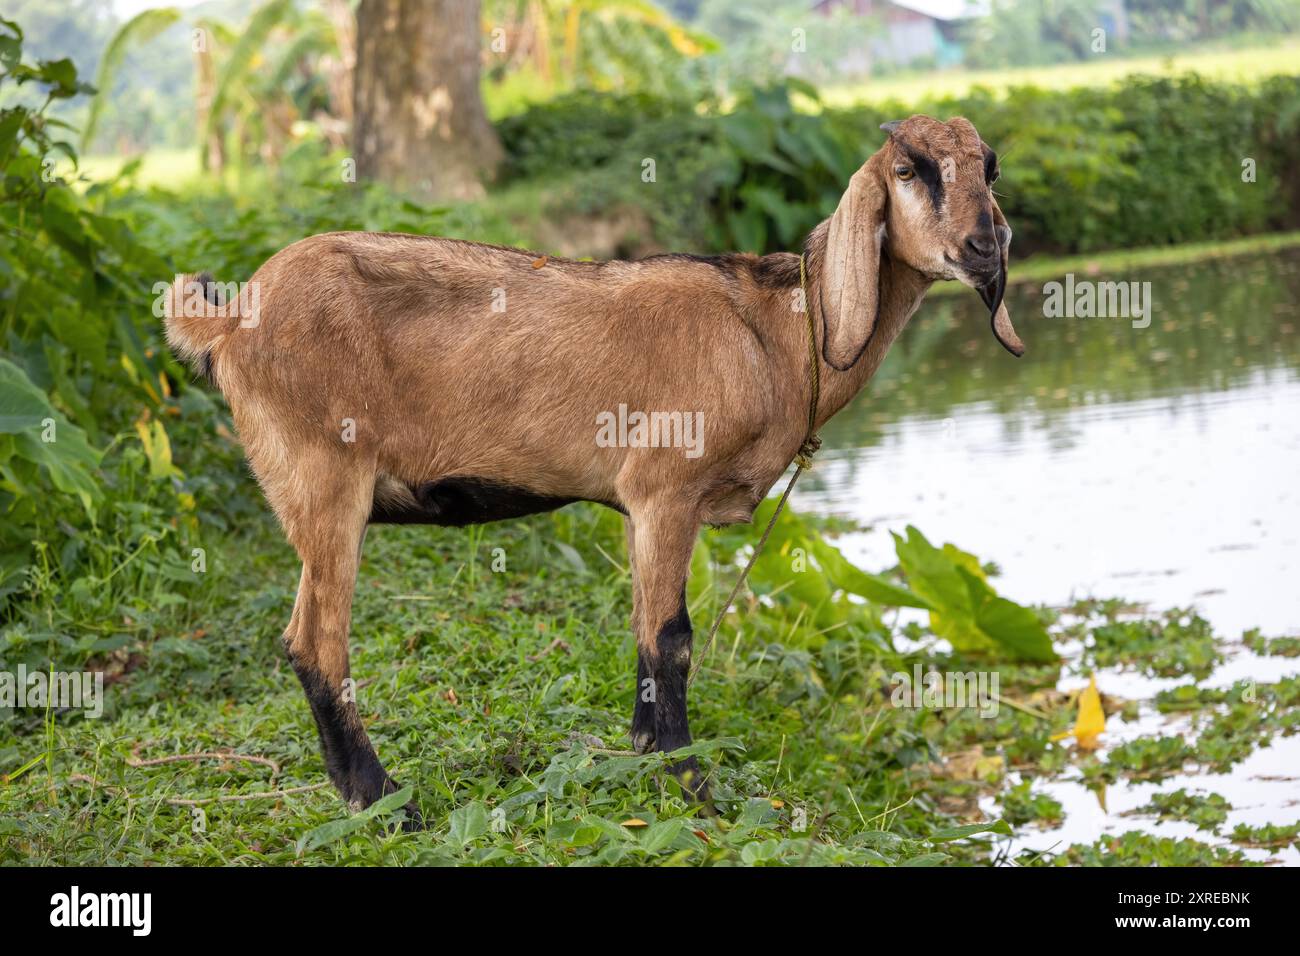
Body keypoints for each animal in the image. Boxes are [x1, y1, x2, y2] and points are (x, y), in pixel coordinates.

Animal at [162, 115, 1019, 822]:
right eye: (908, 168)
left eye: (990, 166)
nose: (985, 248)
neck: (777, 333)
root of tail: (231, 318)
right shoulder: (665, 490)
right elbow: (671, 637)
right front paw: (690, 783)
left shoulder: (648, 509)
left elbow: (646, 630)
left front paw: (644, 758)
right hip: (325, 478)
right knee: (316, 643)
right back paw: (382, 802)